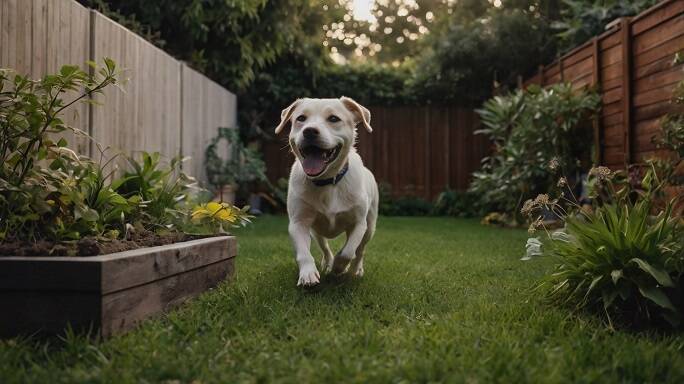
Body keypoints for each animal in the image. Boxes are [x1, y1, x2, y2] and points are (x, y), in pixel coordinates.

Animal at [272, 97, 380, 286]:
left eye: (334, 119)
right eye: (301, 118)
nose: (309, 131)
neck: (327, 182)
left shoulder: (359, 224)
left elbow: (348, 251)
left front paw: (340, 267)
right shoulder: (298, 223)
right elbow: (304, 253)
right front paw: (308, 274)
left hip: (370, 226)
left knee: (360, 251)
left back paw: (356, 270)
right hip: (317, 232)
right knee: (325, 247)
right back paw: (327, 263)